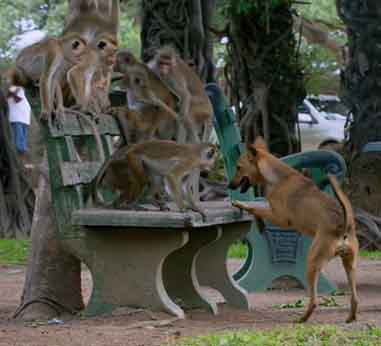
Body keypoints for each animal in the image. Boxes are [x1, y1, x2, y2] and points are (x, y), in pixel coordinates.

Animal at [229, 137, 360, 324]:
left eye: (239, 167)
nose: (229, 184)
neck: (277, 177)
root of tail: (343, 226)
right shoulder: (272, 211)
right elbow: (258, 210)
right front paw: (259, 223)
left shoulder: (280, 219)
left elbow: (255, 208)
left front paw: (241, 204)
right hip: (350, 265)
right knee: (355, 298)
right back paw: (350, 318)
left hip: (312, 262)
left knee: (314, 300)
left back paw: (302, 318)